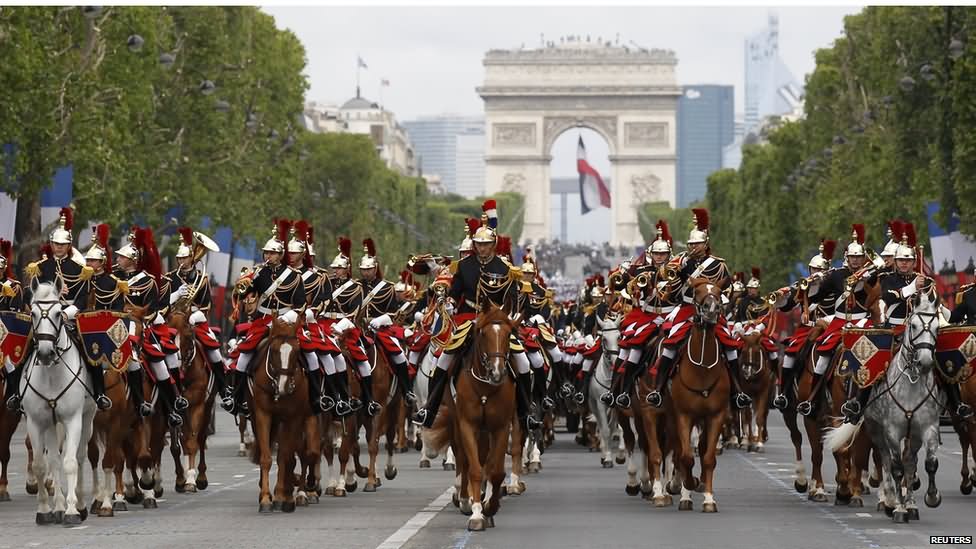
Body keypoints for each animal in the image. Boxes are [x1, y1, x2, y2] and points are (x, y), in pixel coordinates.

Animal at [21, 280, 97, 524]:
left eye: (57, 313)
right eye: (33, 313)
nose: (46, 353)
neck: (52, 373)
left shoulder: (73, 419)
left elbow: (70, 463)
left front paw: (72, 510)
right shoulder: (36, 422)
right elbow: (40, 464)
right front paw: (46, 509)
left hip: (87, 419)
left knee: (80, 457)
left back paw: (79, 505)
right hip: (52, 424)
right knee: (53, 459)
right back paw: (59, 507)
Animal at [248, 318, 308, 512]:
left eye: (296, 351)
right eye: (273, 350)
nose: (283, 386)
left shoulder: (293, 418)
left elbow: (285, 457)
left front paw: (282, 497)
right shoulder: (262, 415)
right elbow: (267, 458)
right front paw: (266, 499)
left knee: (304, 453)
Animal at [672, 280, 732, 512]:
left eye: (719, 292)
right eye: (696, 292)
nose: (711, 310)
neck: (702, 369)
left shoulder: (716, 416)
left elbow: (708, 458)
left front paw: (708, 498)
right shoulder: (683, 415)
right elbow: (686, 457)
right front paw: (688, 488)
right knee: (680, 452)